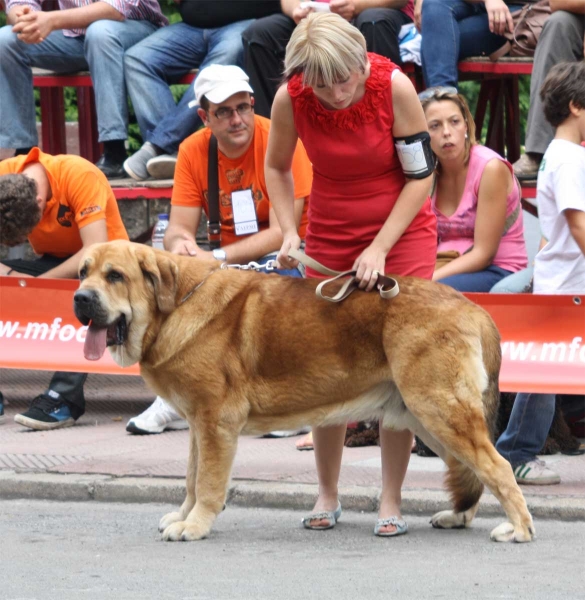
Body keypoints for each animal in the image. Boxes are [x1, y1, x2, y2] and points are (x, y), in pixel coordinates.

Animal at [73, 240, 532, 544]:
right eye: (82, 272)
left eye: (115, 276)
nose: (80, 298)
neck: (175, 306)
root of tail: (473, 307)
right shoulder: (198, 427)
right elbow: (190, 479)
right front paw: (184, 517)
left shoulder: (215, 424)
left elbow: (207, 483)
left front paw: (196, 526)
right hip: (429, 420)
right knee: (474, 470)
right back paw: (459, 517)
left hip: (440, 412)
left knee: (498, 466)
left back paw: (520, 529)